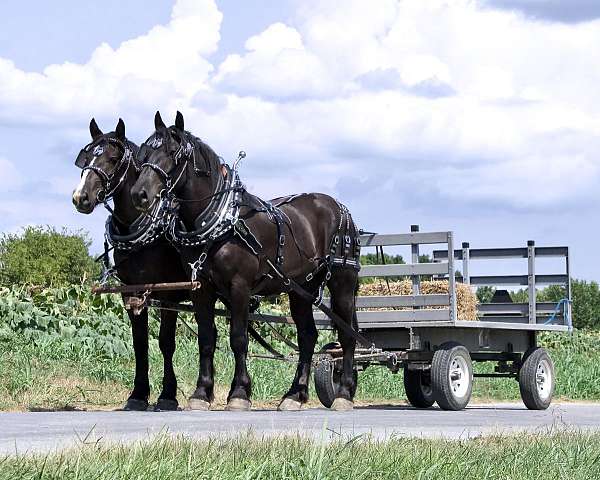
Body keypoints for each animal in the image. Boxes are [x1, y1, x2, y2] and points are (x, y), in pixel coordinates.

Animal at [72, 118, 186, 410]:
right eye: (86, 158)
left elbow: (166, 342)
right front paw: (138, 394)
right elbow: (139, 343)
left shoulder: (169, 292)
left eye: (113, 159)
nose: (80, 197)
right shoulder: (131, 291)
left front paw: (168, 395)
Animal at [129, 110, 358, 410]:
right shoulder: (202, 289)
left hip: (342, 282)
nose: (139, 194)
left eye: (172, 153)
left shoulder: (239, 286)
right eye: (144, 152)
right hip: (301, 289)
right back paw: (294, 395)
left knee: (347, 334)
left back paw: (343, 393)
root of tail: (340, 208)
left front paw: (238, 393)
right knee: (308, 336)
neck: (223, 223)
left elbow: (238, 338)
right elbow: (206, 338)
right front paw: (201, 393)